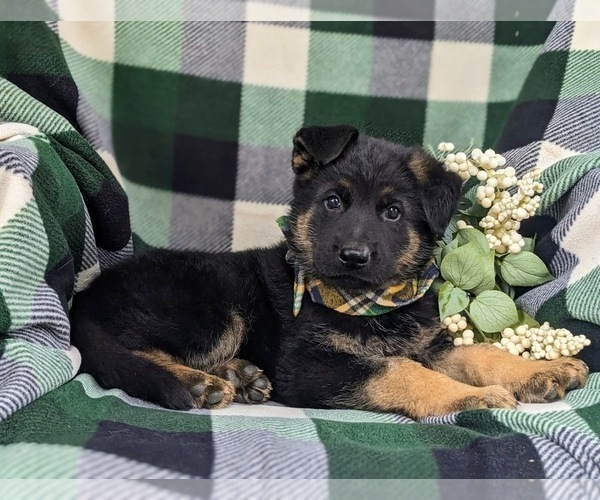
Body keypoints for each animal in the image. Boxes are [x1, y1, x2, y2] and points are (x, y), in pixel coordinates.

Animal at [69, 125, 584, 418]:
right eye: (333, 202)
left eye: (392, 213)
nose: (354, 255)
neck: (371, 305)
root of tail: (83, 301)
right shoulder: (308, 366)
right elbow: (398, 370)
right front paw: (469, 398)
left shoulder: (429, 345)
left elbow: (478, 353)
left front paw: (541, 370)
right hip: (212, 306)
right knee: (127, 353)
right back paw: (199, 382)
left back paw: (240, 374)